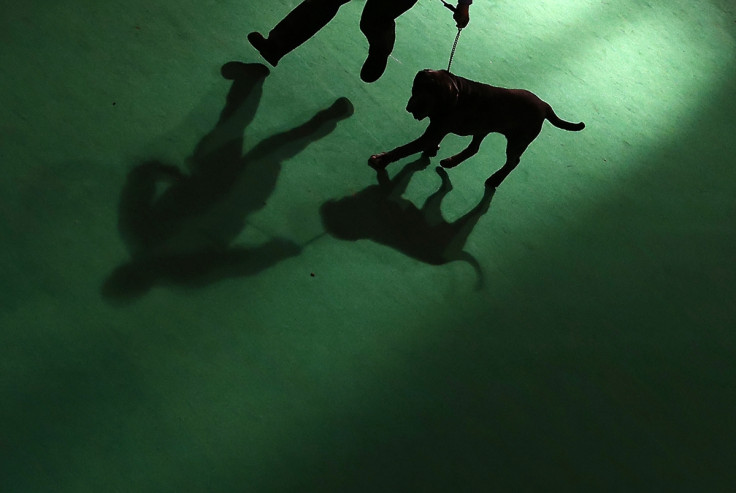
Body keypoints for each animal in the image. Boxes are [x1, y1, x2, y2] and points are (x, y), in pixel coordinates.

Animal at [368, 67, 588, 186]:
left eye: (431, 95)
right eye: (417, 88)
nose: (412, 107)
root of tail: (544, 105)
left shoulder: (434, 131)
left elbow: (405, 148)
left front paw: (381, 159)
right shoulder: (437, 129)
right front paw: (432, 150)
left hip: (517, 141)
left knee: (512, 162)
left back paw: (494, 180)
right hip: (482, 129)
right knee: (474, 149)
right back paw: (451, 162)